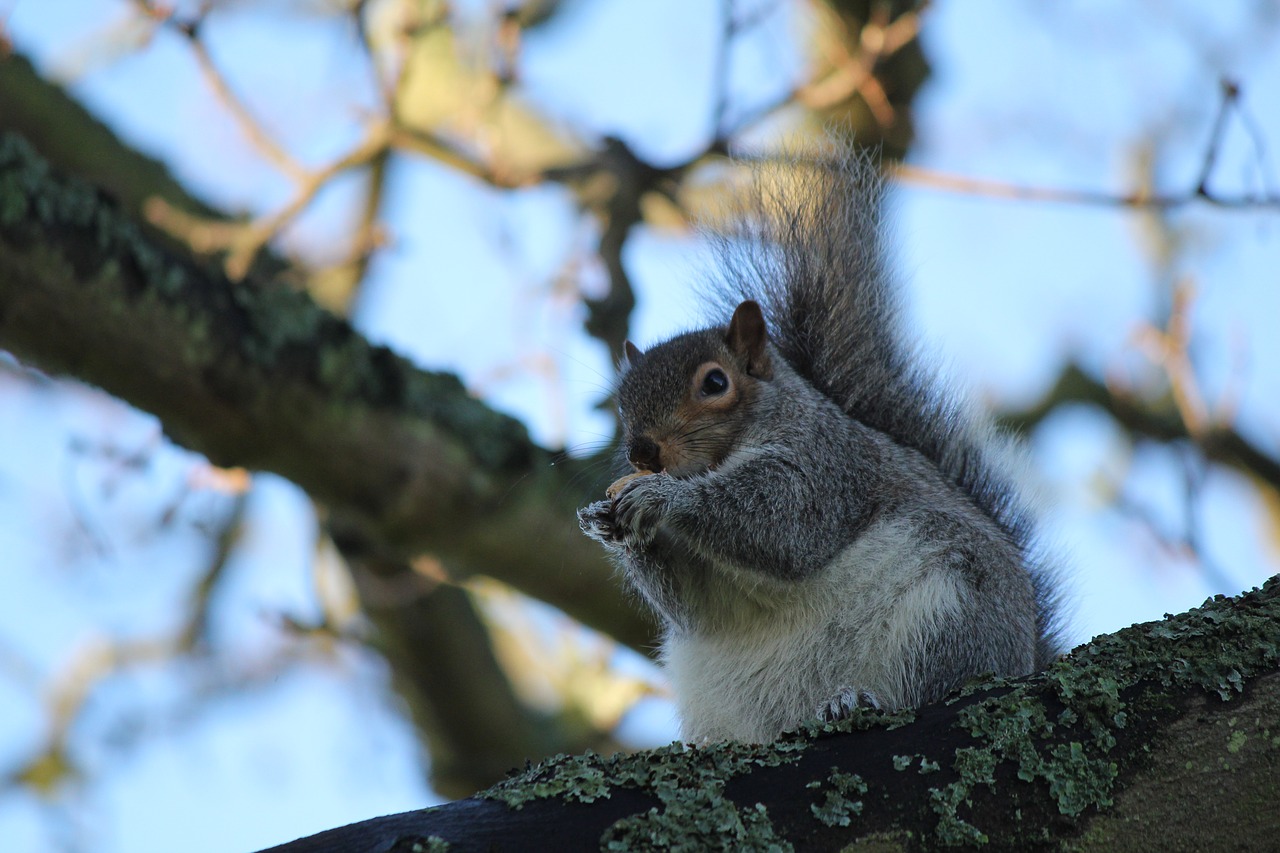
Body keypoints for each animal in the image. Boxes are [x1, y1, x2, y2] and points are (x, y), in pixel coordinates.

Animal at [578, 149, 1059, 742]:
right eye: (621, 403)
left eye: (715, 382)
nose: (643, 453)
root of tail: (1025, 657)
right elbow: (690, 603)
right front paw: (606, 521)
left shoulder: (826, 464)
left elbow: (786, 523)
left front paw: (664, 499)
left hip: (953, 613)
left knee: (935, 685)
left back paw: (858, 700)